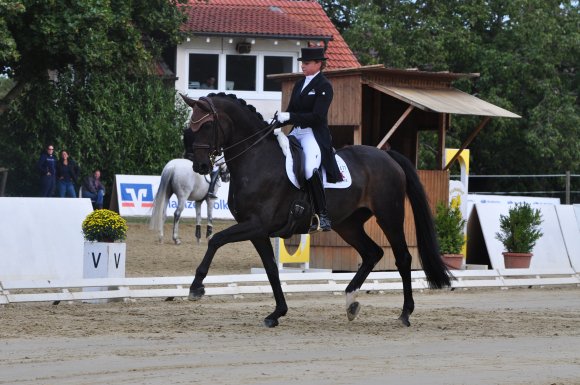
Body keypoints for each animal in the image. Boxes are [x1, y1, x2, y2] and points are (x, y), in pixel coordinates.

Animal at [181, 93, 454, 328]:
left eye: (206, 126)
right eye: (190, 127)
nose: (200, 166)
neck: (256, 158)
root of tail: (388, 157)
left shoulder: (257, 224)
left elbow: (216, 240)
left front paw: (196, 287)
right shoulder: (257, 231)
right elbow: (271, 268)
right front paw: (277, 313)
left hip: (389, 216)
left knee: (402, 258)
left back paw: (405, 313)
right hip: (348, 225)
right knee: (372, 253)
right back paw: (351, 302)